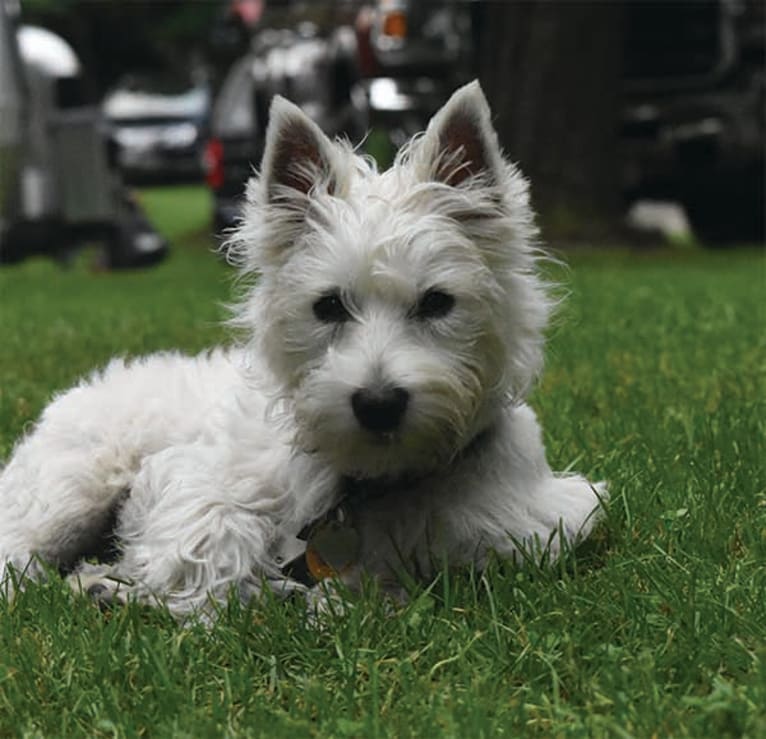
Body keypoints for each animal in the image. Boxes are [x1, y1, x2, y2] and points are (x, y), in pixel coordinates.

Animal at [0, 82, 608, 620]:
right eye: (328, 306)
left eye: (437, 302)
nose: (378, 404)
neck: (371, 484)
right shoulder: (196, 474)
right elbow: (214, 529)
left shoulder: (528, 527)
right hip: (73, 486)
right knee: (17, 552)